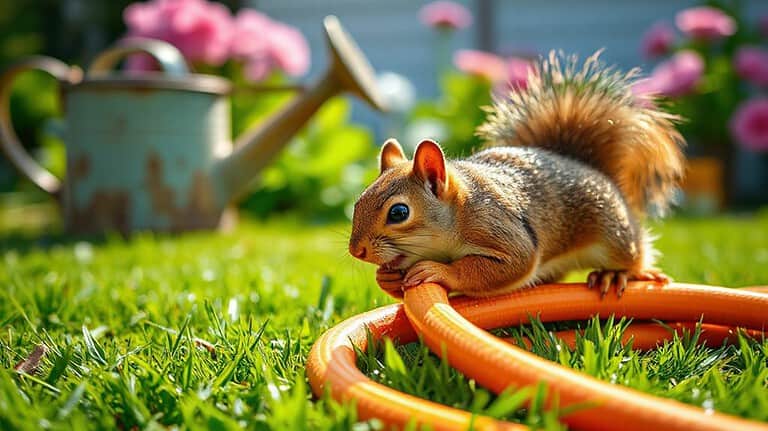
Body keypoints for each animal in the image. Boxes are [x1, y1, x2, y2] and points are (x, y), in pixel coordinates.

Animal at [349, 51, 685, 299]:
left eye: (399, 212)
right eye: (357, 202)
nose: (356, 250)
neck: (460, 212)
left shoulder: (499, 229)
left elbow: (507, 265)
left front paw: (441, 272)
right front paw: (386, 280)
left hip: (614, 234)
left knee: (633, 255)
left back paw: (616, 274)